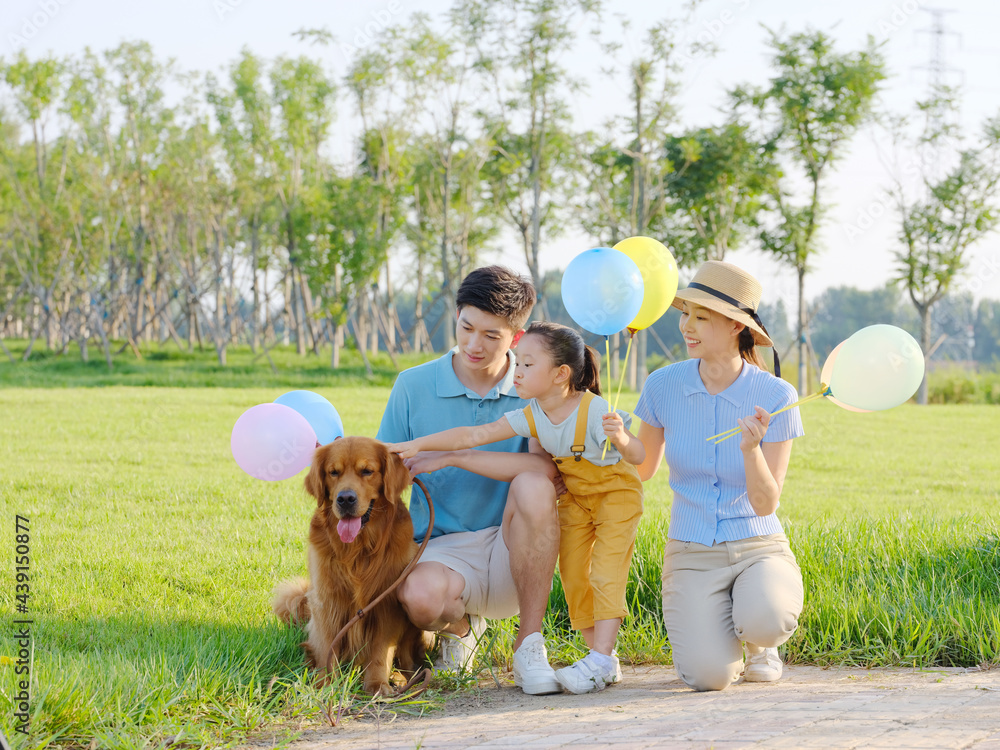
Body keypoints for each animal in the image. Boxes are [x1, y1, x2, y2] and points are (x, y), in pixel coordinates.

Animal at [272, 438, 432, 696]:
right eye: (333, 472)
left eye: (367, 471)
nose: (345, 499)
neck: (358, 550)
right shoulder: (326, 601)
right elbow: (327, 646)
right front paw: (326, 685)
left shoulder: (385, 602)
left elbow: (380, 652)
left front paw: (377, 685)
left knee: (408, 660)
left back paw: (400, 678)